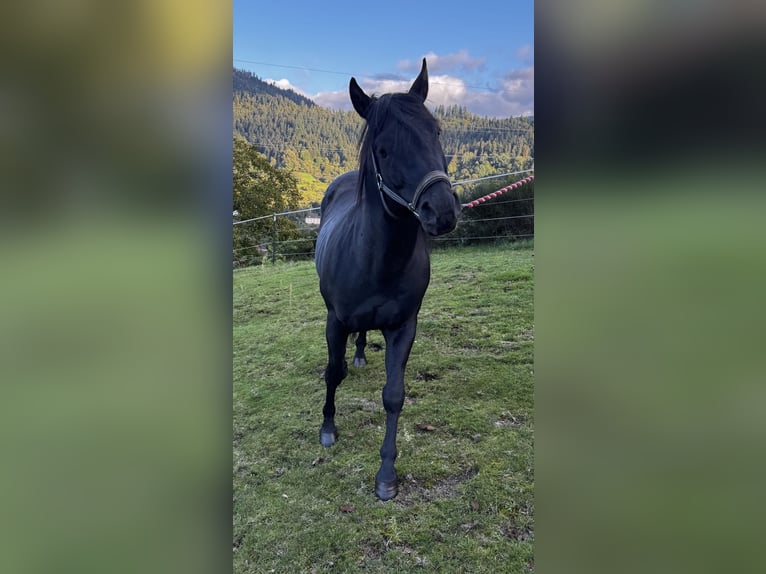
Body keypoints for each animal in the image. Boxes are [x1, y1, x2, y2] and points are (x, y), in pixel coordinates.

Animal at [314, 59, 461, 500]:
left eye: (436, 132)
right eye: (382, 149)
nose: (441, 211)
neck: (376, 261)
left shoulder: (403, 326)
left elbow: (394, 396)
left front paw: (386, 474)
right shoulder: (335, 322)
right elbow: (333, 372)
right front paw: (328, 429)